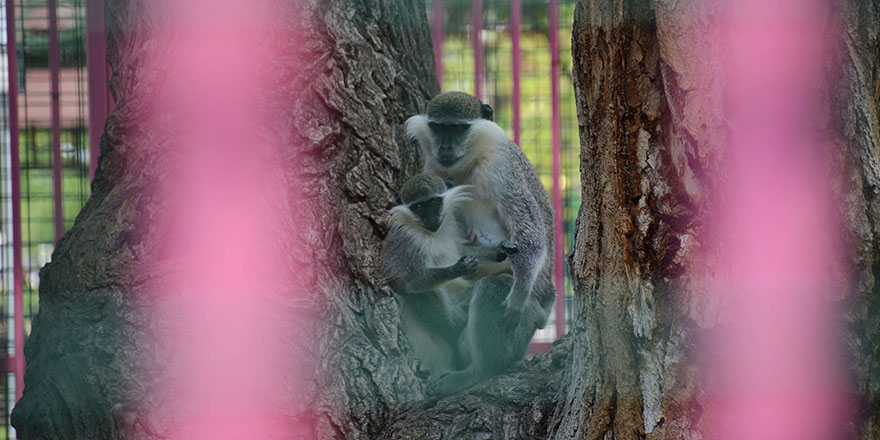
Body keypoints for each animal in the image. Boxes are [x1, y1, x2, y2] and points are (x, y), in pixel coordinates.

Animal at [408, 92, 556, 396]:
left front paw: (518, 293)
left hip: (523, 330)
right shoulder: (433, 172)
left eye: (458, 128)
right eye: (438, 127)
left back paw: (477, 372)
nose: (445, 146)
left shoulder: (503, 170)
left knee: (493, 288)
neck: (470, 165)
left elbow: (531, 235)